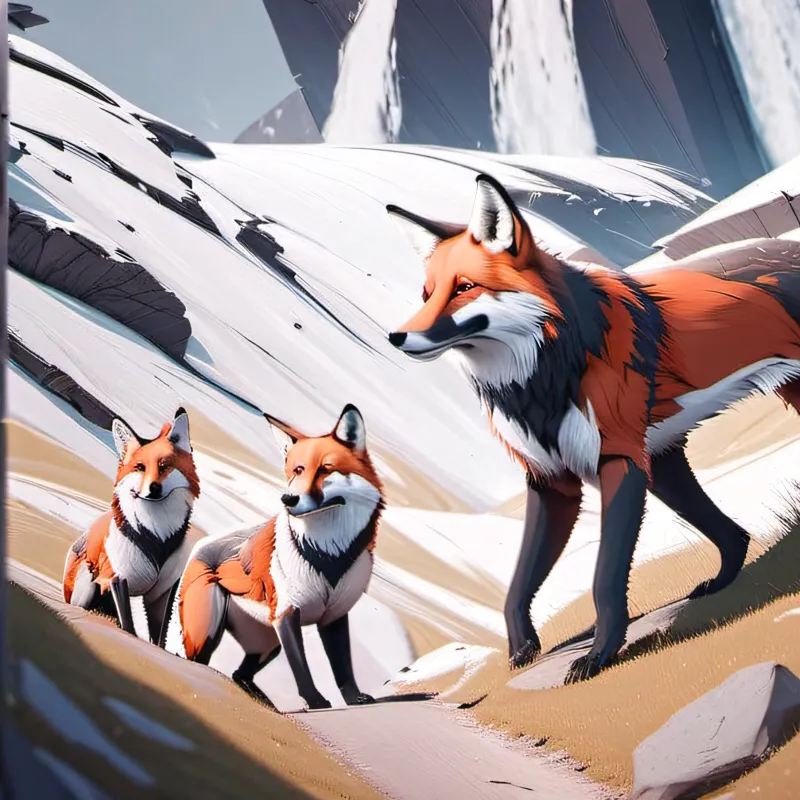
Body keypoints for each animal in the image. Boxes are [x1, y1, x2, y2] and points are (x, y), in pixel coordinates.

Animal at [63, 407, 201, 646]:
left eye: (164, 466)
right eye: (140, 467)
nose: (153, 488)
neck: (157, 538)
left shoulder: (162, 593)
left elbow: (159, 637)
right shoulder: (117, 577)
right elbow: (128, 625)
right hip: (88, 585)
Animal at [177, 404, 383, 711]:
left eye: (325, 469)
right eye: (297, 470)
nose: (288, 499)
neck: (328, 557)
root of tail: (200, 544)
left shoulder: (333, 616)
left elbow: (343, 667)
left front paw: (354, 699)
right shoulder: (287, 612)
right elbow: (301, 668)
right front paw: (316, 702)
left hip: (268, 643)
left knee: (240, 674)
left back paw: (265, 702)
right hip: (208, 633)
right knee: (197, 662)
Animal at [385, 172, 800, 685]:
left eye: (464, 287)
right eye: (427, 294)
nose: (396, 337)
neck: (543, 378)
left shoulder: (620, 461)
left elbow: (605, 578)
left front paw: (600, 655)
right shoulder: (555, 481)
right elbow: (517, 586)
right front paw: (523, 648)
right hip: (670, 459)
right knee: (733, 535)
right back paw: (722, 579)